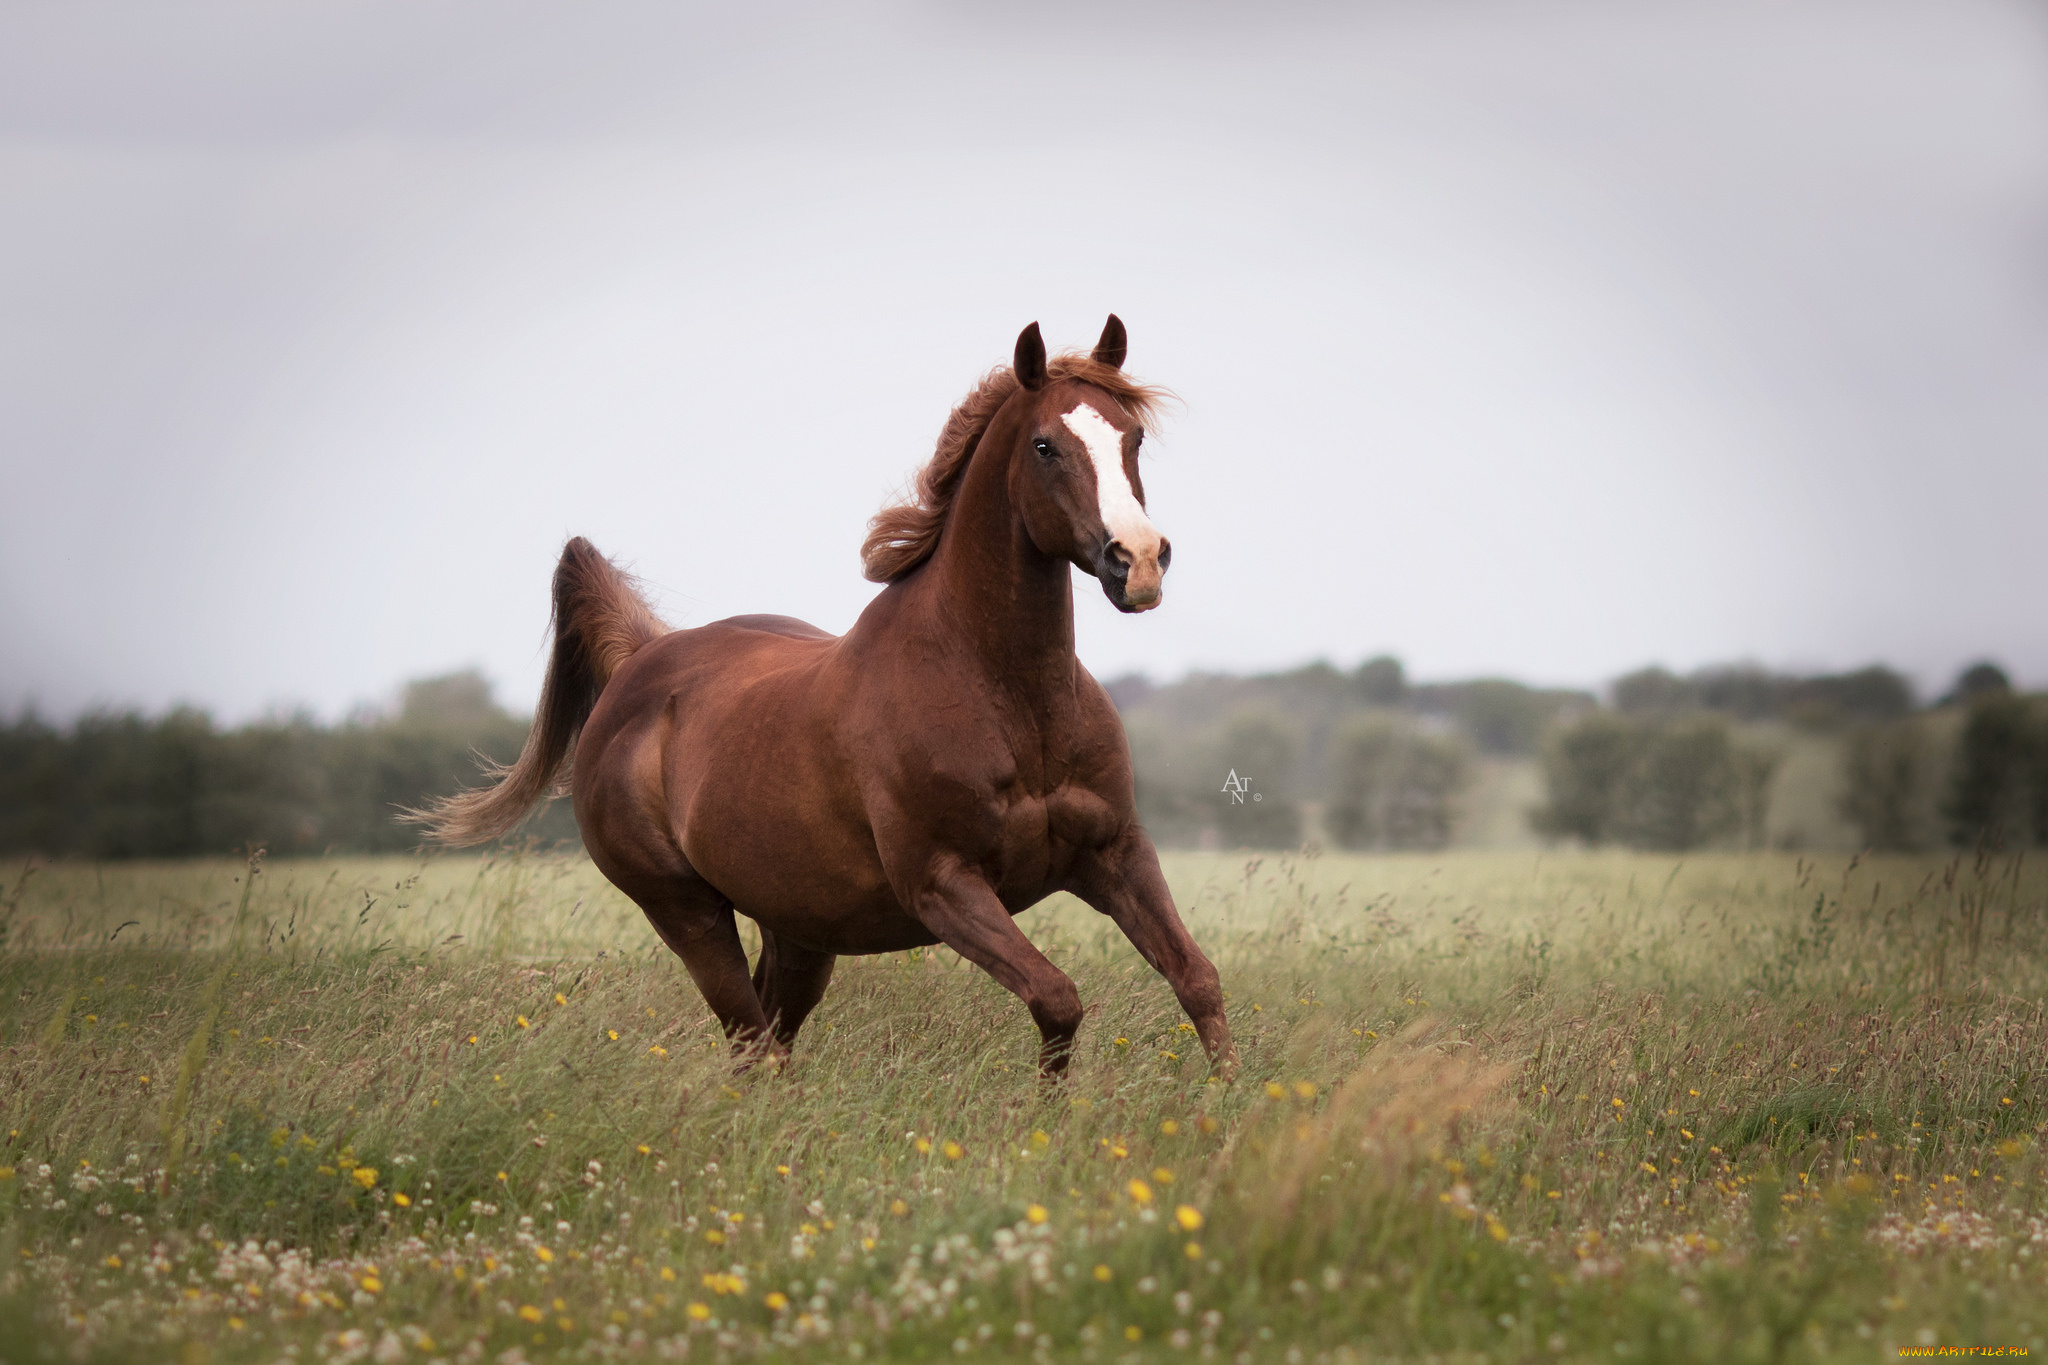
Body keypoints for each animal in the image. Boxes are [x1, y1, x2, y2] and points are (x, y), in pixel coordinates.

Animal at [416, 316, 1237, 1080]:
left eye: (1132, 437)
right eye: (1044, 446)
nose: (1138, 562)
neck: (1008, 698)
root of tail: (639, 660)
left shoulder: (1115, 852)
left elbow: (1198, 980)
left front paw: (1225, 1108)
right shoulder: (943, 885)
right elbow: (1058, 998)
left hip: (799, 929)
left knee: (767, 1043)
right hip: (688, 913)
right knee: (753, 1048)